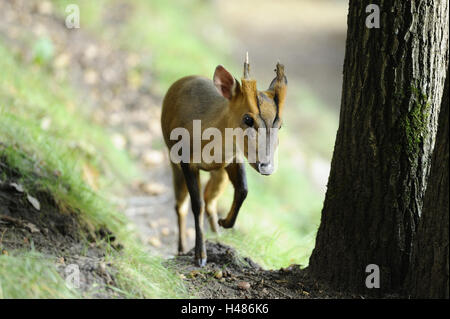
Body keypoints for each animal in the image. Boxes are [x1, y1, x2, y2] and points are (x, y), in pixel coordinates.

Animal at [162, 55, 288, 268]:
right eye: (248, 119)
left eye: (279, 124)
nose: (267, 166)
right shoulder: (186, 160)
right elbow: (196, 205)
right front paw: (200, 256)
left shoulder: (234, 158)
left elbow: (243, 190)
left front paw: (225, 223)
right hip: (173, 158)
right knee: (182, 204)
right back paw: (181, 248)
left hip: (218, 172)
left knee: (210, 199)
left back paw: (217, 234)